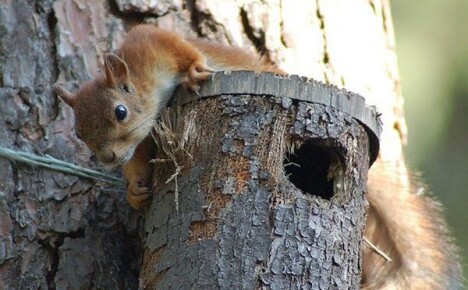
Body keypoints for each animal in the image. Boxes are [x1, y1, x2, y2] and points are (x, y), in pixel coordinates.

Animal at [54, 24, 460, 288]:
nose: (108, 157)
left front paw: (195, 71)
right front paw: (135, 188)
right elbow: (139, 157)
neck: (143, 81)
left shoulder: (156, 42)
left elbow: (186, 53)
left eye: (120, 112)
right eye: (79, 132)